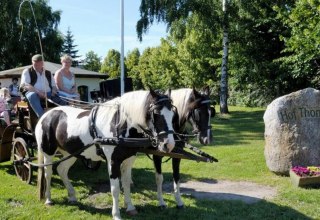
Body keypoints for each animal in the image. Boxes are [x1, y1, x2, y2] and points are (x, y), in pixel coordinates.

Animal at [35, 90, 175, 220]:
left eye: (173, 114)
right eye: (156, 113)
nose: (169, 145)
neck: (119, 125)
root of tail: (46, 115)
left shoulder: (129, 160)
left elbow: (126, 184)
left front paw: (130, 207)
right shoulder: (113, 162)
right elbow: (115, 188)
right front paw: (116, 214)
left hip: (72, 153)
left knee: (62, 169)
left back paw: (72, 196)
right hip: (48, 153)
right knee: (48, 173)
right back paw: (48, 199)